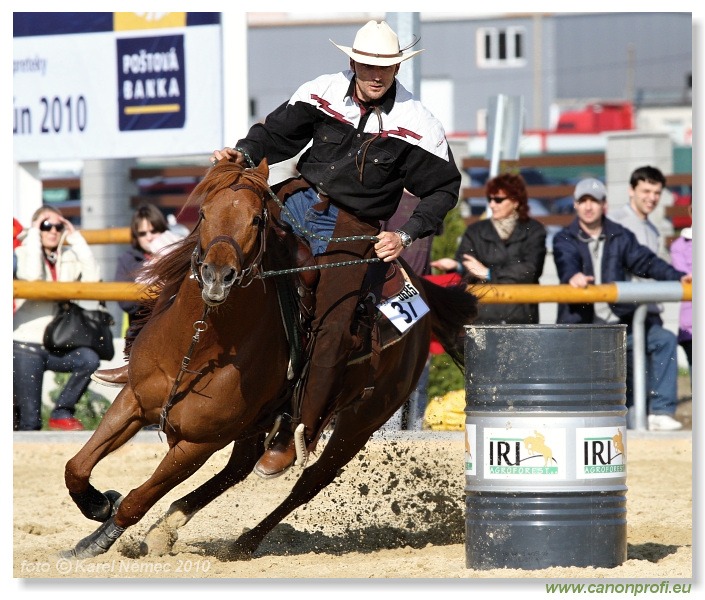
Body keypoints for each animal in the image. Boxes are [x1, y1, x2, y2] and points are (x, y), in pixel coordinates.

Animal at [62, 157, 478, 560]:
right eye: (203, 214)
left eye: (256, 219)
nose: (217, 276)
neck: (199, 348)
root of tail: (418, 287)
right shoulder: (132, 401)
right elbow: (76, 467)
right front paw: (98, 508)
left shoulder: (199, 443)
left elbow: (138, 498)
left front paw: (101, 536)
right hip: (258, 423)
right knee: (240, 467)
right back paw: (170, 524)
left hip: (359, 423)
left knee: (306, 483)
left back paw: (244, 542)